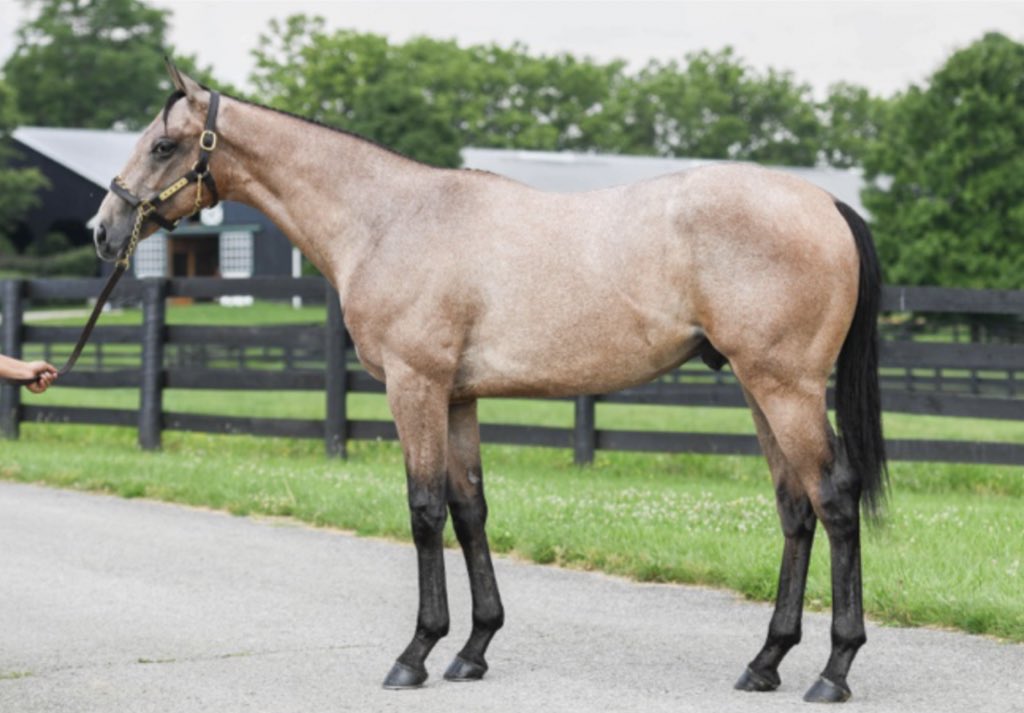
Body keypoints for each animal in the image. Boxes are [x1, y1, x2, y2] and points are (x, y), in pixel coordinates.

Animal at [93, 61, 887, 703]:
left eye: (163, 145)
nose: (104, 230)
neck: (388, 220)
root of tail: (825, 205)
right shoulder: (459, 398)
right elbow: (469, 508)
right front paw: (473, 649)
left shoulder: (414, 386)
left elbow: (423, 510)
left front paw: (415, 653)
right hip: (759, 388)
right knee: (795, 508)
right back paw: (766, 661)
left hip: (785, 386)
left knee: (834, 498)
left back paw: (834, 669)